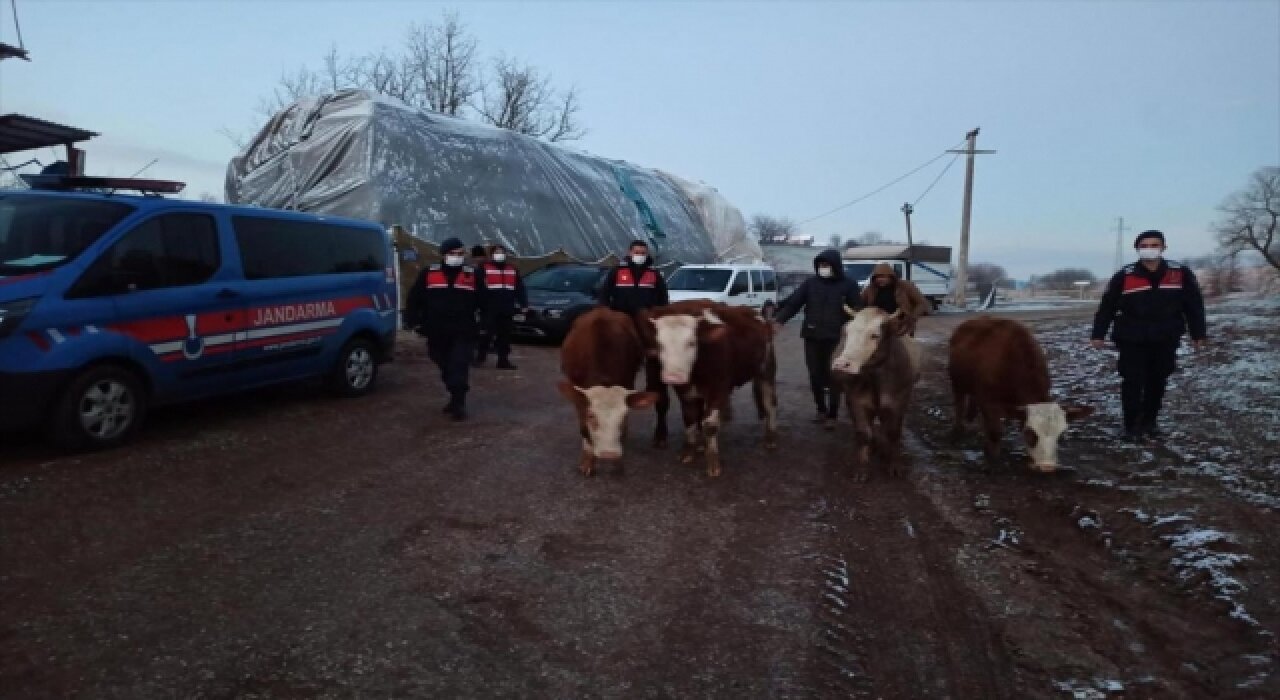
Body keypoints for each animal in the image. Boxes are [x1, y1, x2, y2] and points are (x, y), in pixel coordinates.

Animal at [558, 307, 660, 476]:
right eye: (591, 416)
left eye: (624, 416)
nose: (609, 454)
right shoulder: (579, 395)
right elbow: (583, 428)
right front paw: (588, 461)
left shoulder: (627, 380)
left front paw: (618, 462)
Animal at [645, 298, 773, 478]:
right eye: (659, 345)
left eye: (691, 343)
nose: (673, 377)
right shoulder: (686, 391)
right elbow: (690, 419)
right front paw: (689, 451)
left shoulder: (718, 388)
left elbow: (710, 424)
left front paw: (713, 461)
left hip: (766, 369)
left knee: (770, 403)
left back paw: (771, 438)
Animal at [829, 308, 921, 478]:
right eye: (847, 332)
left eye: (875, 335)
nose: (841, 364)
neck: (875, 378)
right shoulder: (856, 401)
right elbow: (864, 433)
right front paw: (862, 469)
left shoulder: (898, 402)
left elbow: (893, 432)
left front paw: (894, 465)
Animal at [952, 316, 1090, 470]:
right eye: (1030, 433)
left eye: (1061, 435)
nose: (1047, 466)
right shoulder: (988, 401)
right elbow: (995, 432)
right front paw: (991, 455)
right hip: (957, 382)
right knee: (959, 405)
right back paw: (959, 428)